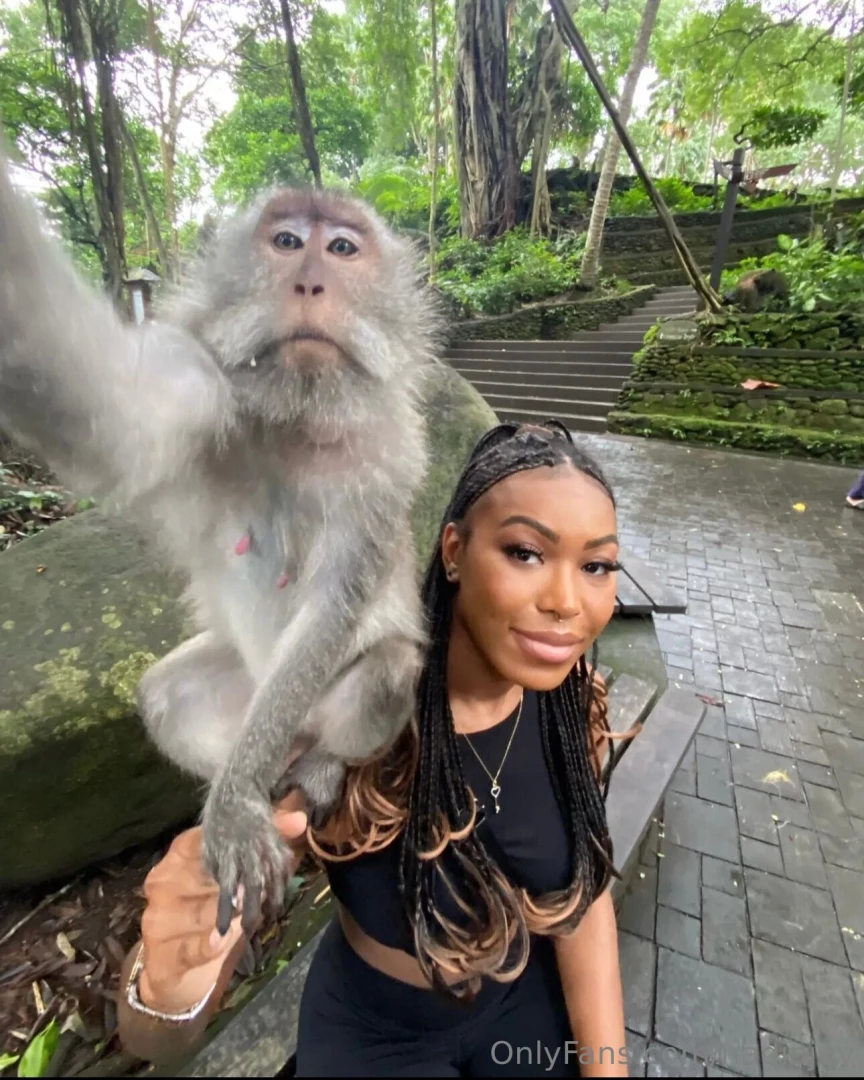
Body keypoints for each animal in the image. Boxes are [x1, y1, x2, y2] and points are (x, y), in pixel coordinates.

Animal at [0, 146, 438, 934]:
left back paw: (313, 765)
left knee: (387, 669)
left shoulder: (391, 458)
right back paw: (256, 776)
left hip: (310, 704)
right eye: (287, 241)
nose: (309, 281)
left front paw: (233, 808)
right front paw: (231, 807)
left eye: (343, 248)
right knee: (167, 697)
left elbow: (336, 604)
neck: (301, 415)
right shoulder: (201, 380)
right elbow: (115, 417)